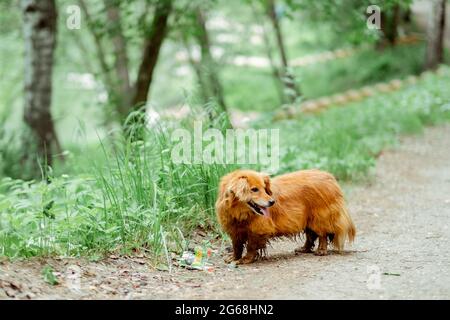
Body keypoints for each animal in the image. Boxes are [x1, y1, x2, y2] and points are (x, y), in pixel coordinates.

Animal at [216, 169, 356, 264]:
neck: (241, 214)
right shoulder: (235, 231)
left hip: (319, 217)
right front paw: (234, 257)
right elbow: (237, 246)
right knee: (310, 235)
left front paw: (246, 259)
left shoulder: (258, 230)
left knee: (322, 234)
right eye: (254, 189)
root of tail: (330, 178)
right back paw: (304, 249)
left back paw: (321, 250)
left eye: (264, 188)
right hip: (307, 218)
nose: (272, 202)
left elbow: (251, 246)